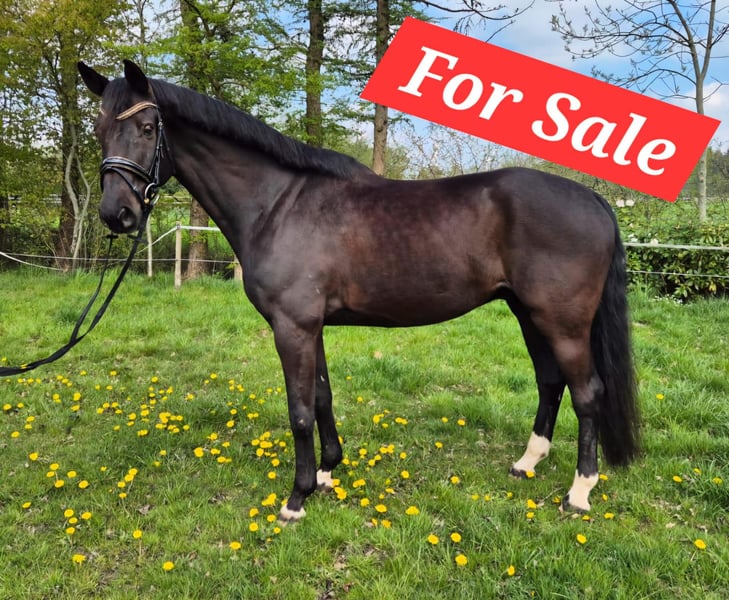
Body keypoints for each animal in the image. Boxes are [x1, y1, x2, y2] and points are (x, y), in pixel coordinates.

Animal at [78, 60, 639, 522]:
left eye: (147, 128)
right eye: (101, 130)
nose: (116, 214)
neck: (277, 204)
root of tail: (594, 199)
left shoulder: (293, 327)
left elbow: (299, 410)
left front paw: (296, 498)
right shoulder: (311, 327)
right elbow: (322, 397)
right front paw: (328, 472)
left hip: (562, 321)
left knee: (587, 392)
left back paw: (579, 492)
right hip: (528, 312)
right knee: (551, 382)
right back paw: (527, 463)